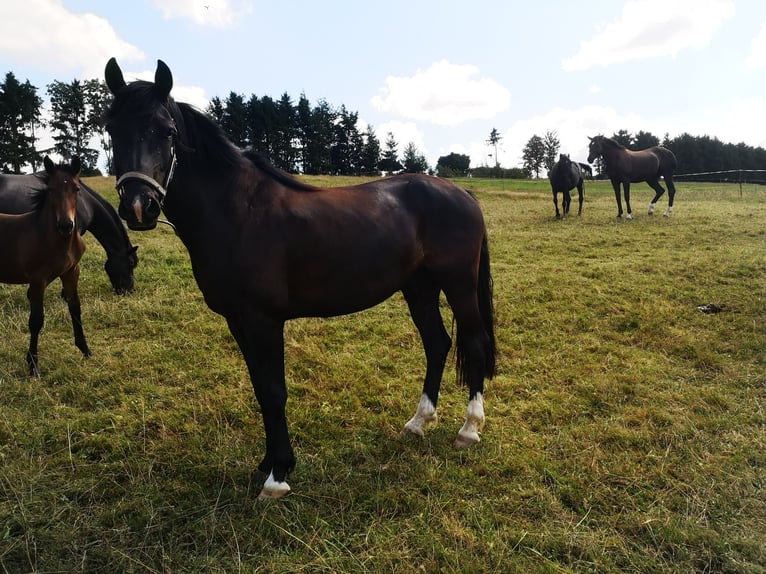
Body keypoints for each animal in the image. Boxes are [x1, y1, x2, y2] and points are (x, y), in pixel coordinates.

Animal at [0, 156, 91, 378]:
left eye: (77, 188)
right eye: (50, 189)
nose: (66, 226)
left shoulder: (71, 272)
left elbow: (75, 308)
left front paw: (85, 350)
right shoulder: (37, 280)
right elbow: (36, 320)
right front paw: (33, 365)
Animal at [103, 57, 498, 500]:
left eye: (167, 131)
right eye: (111, 128)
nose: (139, 206)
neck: (237, 211)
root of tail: (462, 193)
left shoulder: (263, 320)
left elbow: (274, 391)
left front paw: (277, 477)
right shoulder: (237, 320)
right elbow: (260, 388)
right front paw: (267, 462)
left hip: (458, 284)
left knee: (474, 344)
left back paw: (469, 430)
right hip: (418, 287)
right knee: (437, 343)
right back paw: (417, 423)